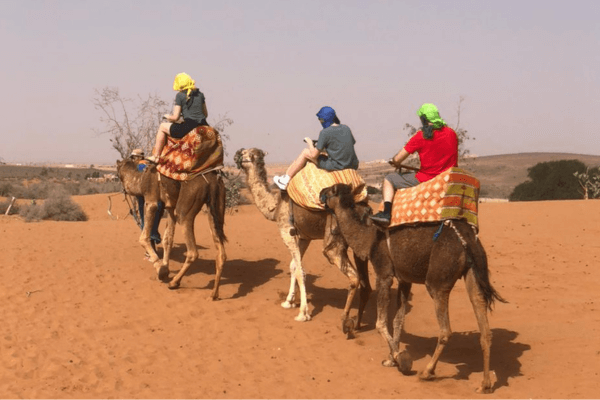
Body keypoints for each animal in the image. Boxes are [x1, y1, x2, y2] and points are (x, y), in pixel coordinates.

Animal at [116, 158, 227, 298]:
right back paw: (214, 294)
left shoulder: (151, 200)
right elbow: (167, 239)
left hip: (188, 203)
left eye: (117, 172)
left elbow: (143, 238)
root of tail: (213, 181)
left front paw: (161, 270)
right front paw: (165, 267)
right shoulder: (169, 206)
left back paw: (174, 282)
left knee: (192, 250)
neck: (140, 179)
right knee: (221, 251)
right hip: (217, 205)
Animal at [233, 148, 370, 332]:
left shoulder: (286, 231)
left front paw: (303, 313)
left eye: (246, 153)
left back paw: (346, 322)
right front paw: (288, 302)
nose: (236, 154)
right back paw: (359, 323)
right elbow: (293, 266)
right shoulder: (304, 237)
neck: (275, 206)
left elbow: (300, 270)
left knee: (354, 276)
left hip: (334, 239)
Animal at [318, 184, 506, 394]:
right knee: (483, 320)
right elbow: (398, 320)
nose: (320, 193)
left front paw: (401, 359)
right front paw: (391, 359)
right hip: (473, 273)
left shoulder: (384, 273)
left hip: (438, 279)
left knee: (445, 329)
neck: (368, 240)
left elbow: (381, 322)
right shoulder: (404, 280)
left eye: (331, 191)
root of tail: (466, 239)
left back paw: (427, 372)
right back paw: (485, 384)